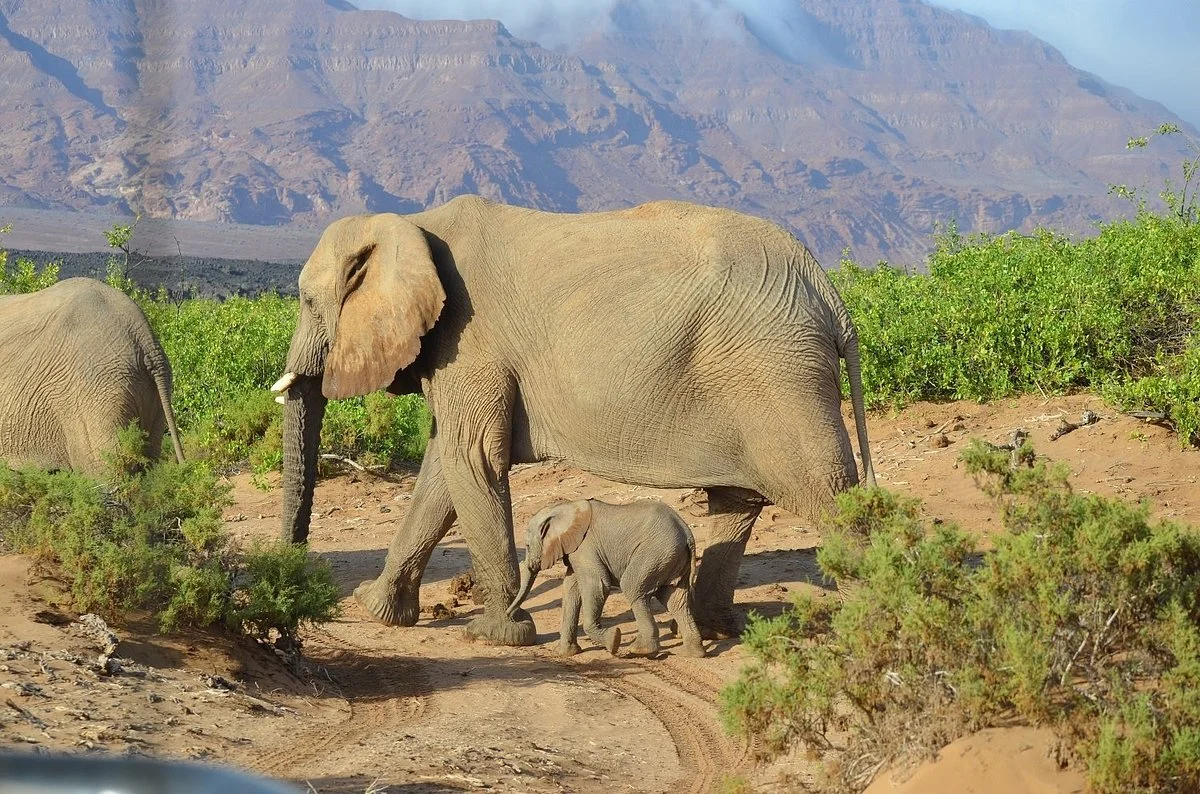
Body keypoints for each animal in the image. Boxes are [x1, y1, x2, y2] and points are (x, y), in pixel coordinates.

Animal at [507, 498, 706, 659]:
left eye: (526, 545)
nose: (511, 617)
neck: (566, 506)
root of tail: (687, 533)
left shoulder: (585, 547)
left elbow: (596, 584)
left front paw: (614, 641)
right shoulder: (575, 551)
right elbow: (571, 589)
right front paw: (565, 654)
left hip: (655, 552)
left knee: (633, 587)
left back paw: (640, 650)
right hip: (670, 558)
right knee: (674, 599)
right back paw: (691, 653)